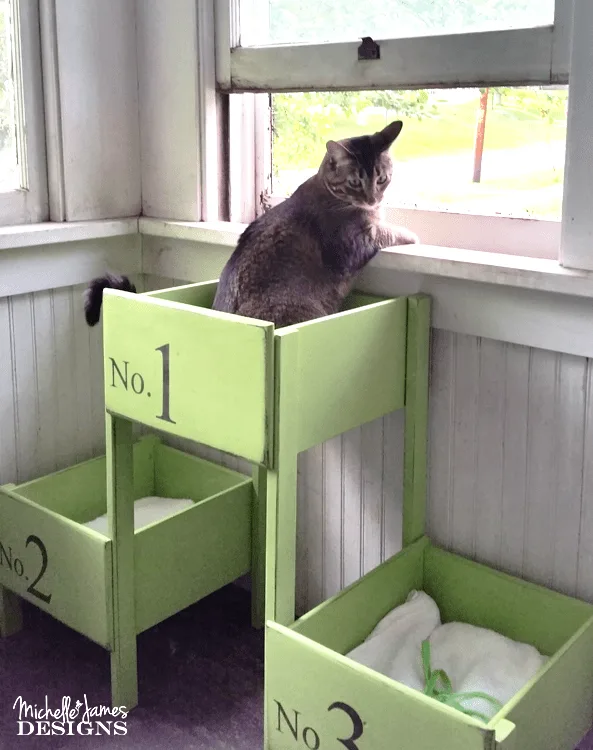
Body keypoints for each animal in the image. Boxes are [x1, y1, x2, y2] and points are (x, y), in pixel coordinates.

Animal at [83, 119, 416, 328]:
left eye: (382, 178)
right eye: (355, 182)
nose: (373, 198)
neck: (330, 192)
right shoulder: (351, 244)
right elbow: (387, 232)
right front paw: (411, 235)